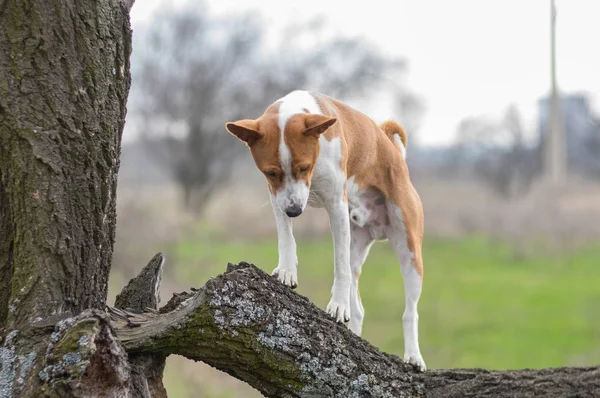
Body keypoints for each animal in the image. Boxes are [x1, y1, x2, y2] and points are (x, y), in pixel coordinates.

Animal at [225, 89, 426, 370]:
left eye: (304, 167)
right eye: (271, 172)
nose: (295, 211)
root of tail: (389, 145)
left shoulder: (336, 205)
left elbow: (338, 265)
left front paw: (338, 306)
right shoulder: (277, 196)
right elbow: (286, 237)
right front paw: (287, 270)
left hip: (409, 251)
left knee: (410, 310)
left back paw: (413, 356)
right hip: (356, 243)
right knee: (358, 303)